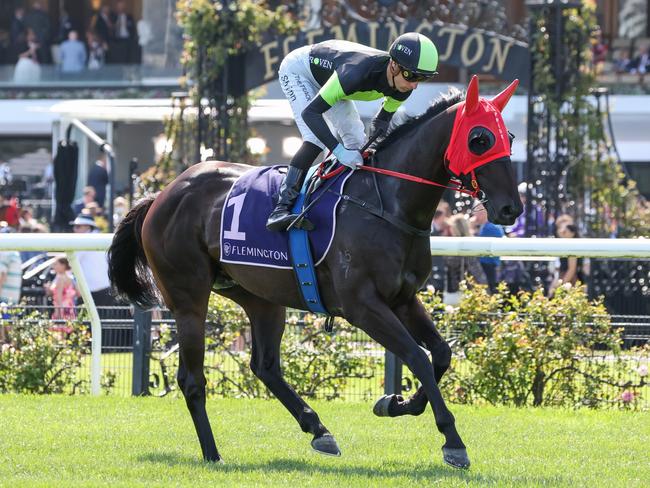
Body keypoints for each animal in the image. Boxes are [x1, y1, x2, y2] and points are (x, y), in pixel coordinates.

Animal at [106, 74, 520, 468]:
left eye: (510, 136)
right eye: (479, 138)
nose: (511, 209)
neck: (386, 204)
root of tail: (160, 194)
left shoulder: (403, 299)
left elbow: (442, 354)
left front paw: (395, 403)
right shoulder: (363, 306)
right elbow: (417, 357)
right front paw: (452, 441)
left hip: (259, 296)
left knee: (265, 366)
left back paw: (318, 429)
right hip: (188, 297)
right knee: (192, 380)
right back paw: (213, 453)